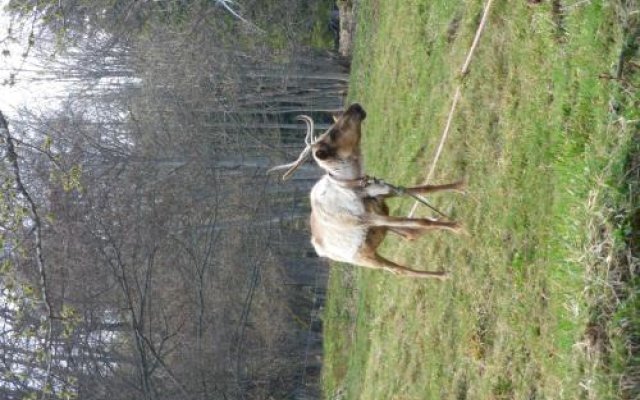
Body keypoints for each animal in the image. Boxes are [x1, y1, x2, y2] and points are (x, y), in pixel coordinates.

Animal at [270, 103, 464, 278]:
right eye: (333, 133)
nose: (355, 106)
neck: (354, 188)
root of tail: (320, 251)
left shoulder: (384, 193)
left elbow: (426, 188)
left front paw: (460, 186)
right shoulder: (369, 218)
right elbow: (421, 221)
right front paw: (455, 226)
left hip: (380, 229)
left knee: (410, 234)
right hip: (366, 256)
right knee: (398, 269)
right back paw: (442, 274)